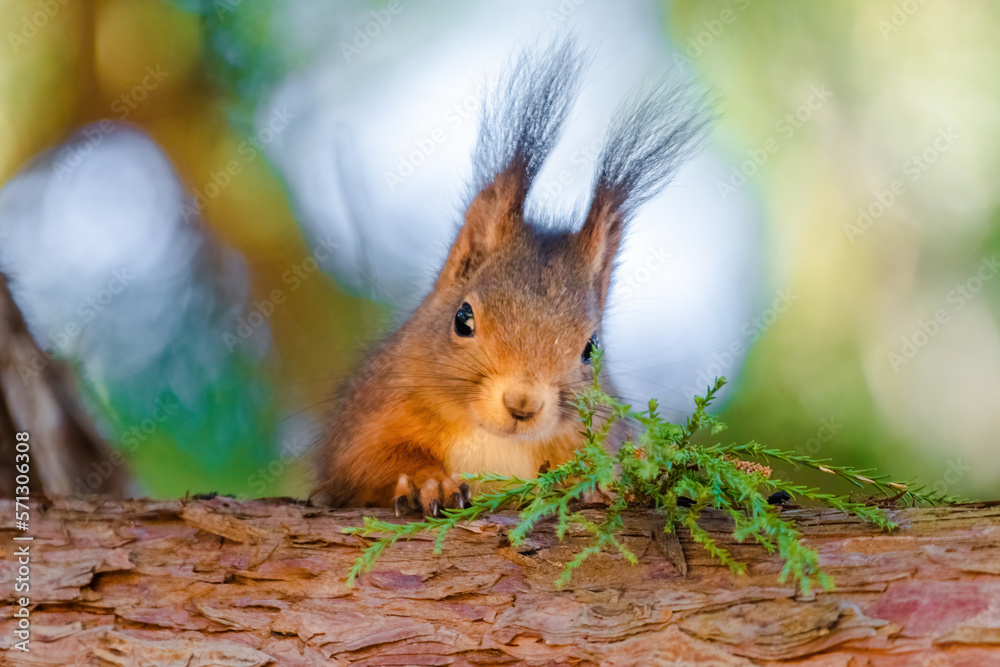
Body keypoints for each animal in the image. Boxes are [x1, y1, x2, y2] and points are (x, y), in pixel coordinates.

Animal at [311, 40, 708, 516]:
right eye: (463, 319)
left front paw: (600, 487)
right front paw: (430, 482)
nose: (523, 404)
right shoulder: (371, 414)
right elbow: (365, 462)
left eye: (592, 349)